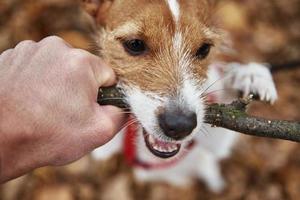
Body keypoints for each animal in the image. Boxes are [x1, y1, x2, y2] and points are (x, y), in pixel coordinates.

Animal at [86, 0, 276, 194]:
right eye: (135, 44)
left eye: (204, 49)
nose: (180, 126)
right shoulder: (104, 150)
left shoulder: (215, 145)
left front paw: (249, 75)